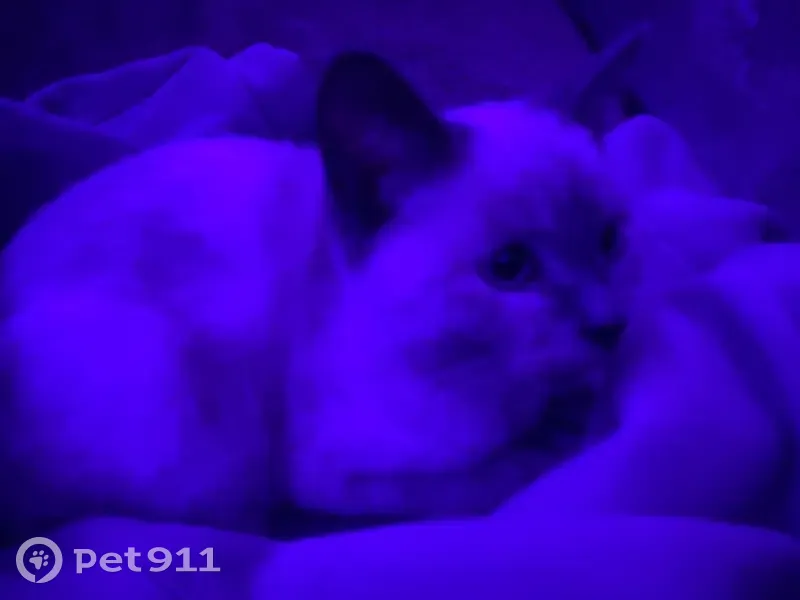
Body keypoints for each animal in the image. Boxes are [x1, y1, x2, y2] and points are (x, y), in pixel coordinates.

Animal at [0, 51, 631, 540]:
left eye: (610, 239)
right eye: (508, 268)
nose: (610, 326)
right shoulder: (339, 471)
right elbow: (499, 478)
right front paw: (566, 433)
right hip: (182, 413)